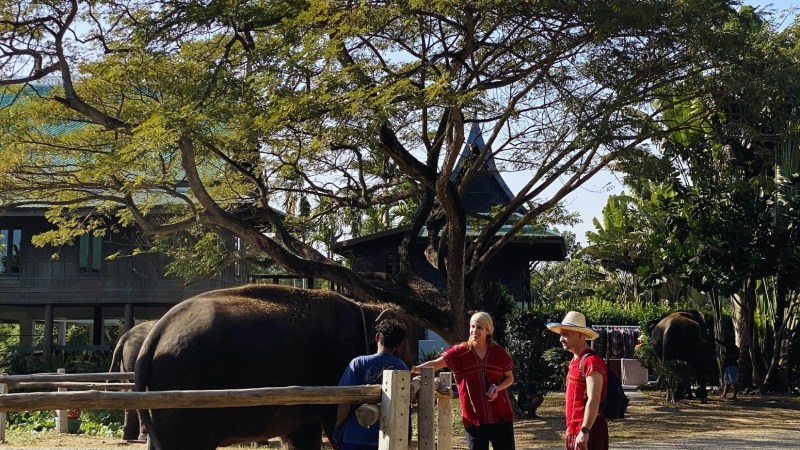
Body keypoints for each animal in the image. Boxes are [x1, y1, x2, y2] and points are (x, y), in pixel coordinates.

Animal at [134, 284, 415, 450]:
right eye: (405, 354)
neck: (364, 308)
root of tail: (156, 332)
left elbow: (302, 435)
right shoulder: (335, 364)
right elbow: (335, 422)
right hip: (185, 391)